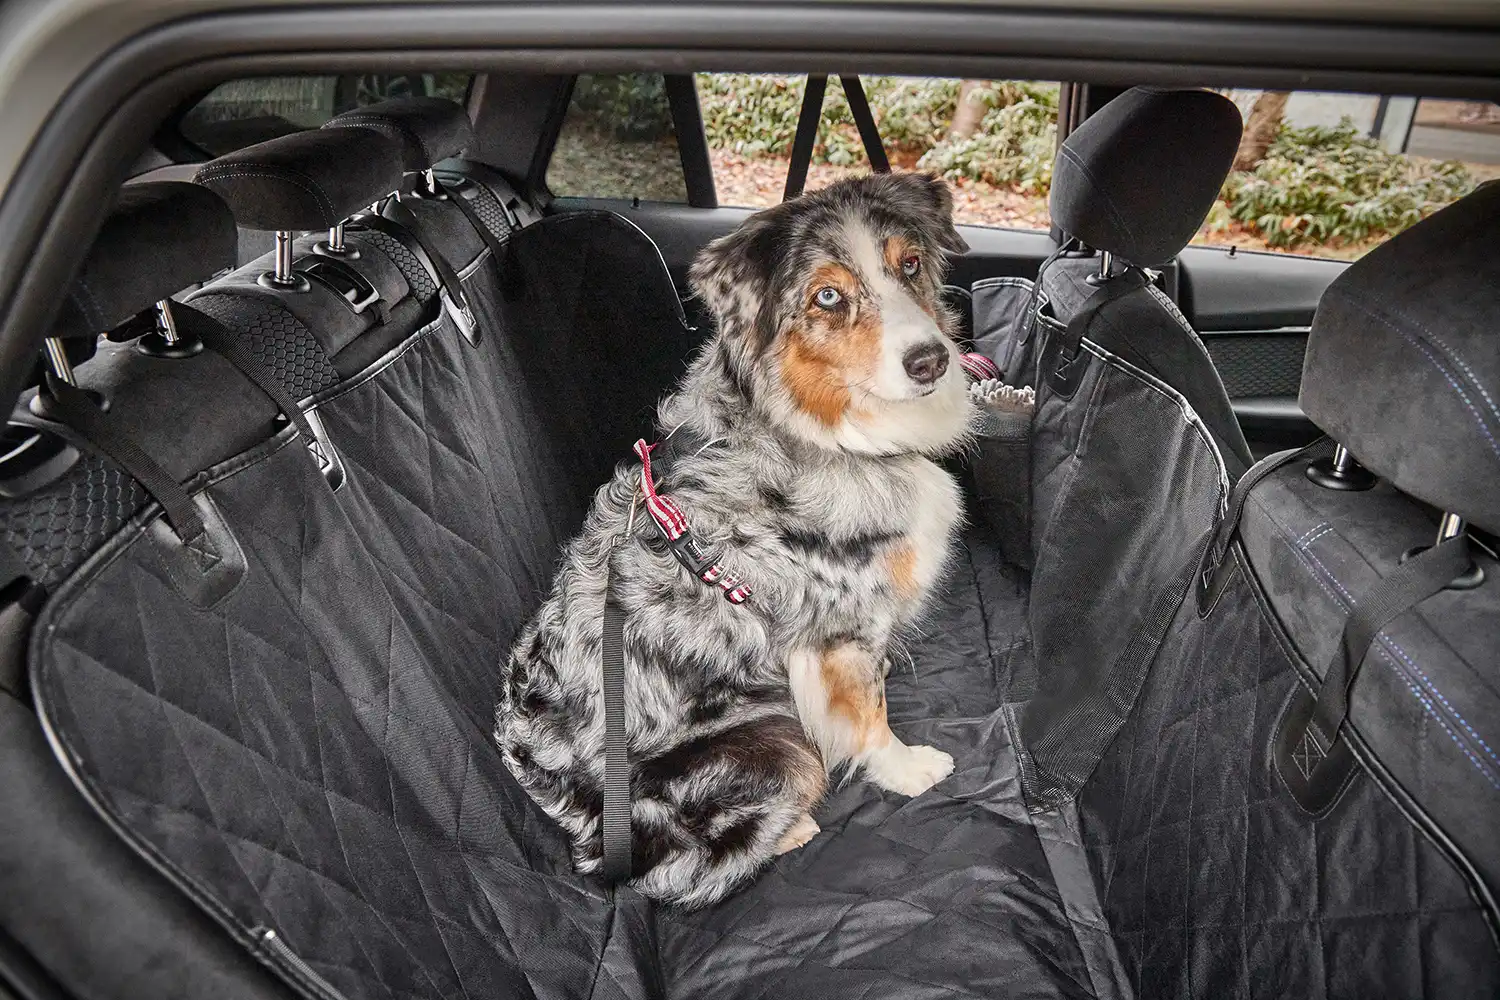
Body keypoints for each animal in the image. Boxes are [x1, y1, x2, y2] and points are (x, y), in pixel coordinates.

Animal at [498, 172, 978, 905]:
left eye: (912, 264)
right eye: (827, 297)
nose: (931, 361)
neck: (819, 433)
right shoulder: (834, 631)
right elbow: (866, 713)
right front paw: (906, 767)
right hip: (774, 746)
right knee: (685, 873)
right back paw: (794, 828)